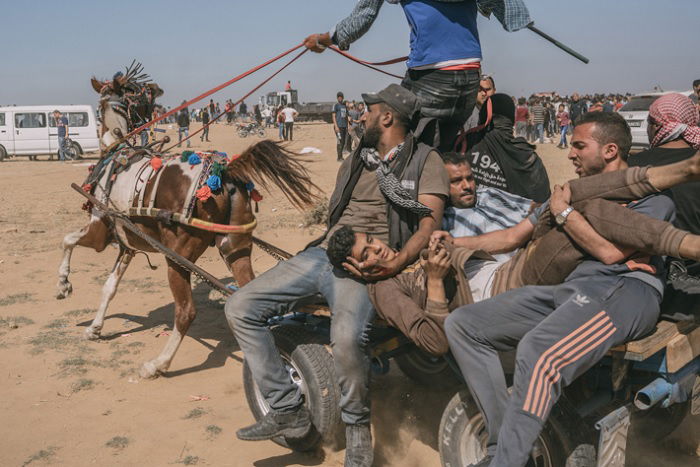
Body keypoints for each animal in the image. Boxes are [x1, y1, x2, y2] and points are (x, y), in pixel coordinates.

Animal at [57, 75, 320, 380]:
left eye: (98, 109)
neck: (118, 153)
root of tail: (224, 173)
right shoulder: (127, 245)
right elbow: (109, 287)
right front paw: (95, 328)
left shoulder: (100, 231)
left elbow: (67, 240)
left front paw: (63, 284)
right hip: (235, 248)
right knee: (250, 296)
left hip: (178, 258)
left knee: (186, 312)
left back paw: (158, 364)